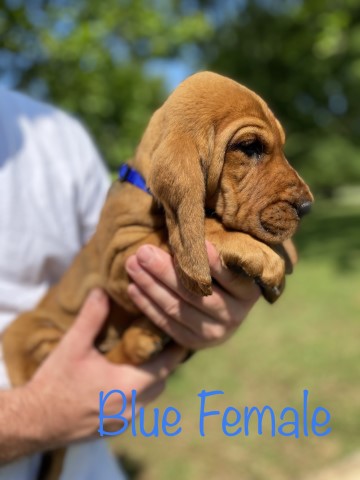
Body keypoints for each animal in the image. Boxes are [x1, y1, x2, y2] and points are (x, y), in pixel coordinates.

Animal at [2, 72, 312, 390]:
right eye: (250, 147)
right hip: (32, 333)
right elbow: (200, 225)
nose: (307, 207)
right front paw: (259, 253)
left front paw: (284, 251)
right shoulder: (119, 262)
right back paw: (140, 339)